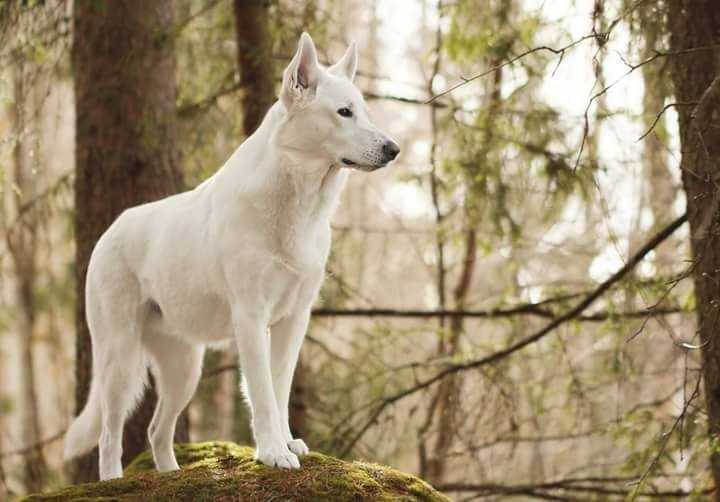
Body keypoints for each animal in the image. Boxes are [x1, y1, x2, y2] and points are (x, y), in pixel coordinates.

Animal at [62, 33, 400, 480]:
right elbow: (262, 394)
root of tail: (108, 232)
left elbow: (279, 387)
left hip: (185, 368)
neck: (298, 204)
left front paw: (287, 442)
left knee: (156, 431)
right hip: (120, 361)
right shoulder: (251, 317)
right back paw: (114, 481)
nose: (394, 149)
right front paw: (273, 452)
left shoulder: (294, 320)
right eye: (344, 112)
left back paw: (171, 475)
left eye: (364, 111)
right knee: (108, 436)